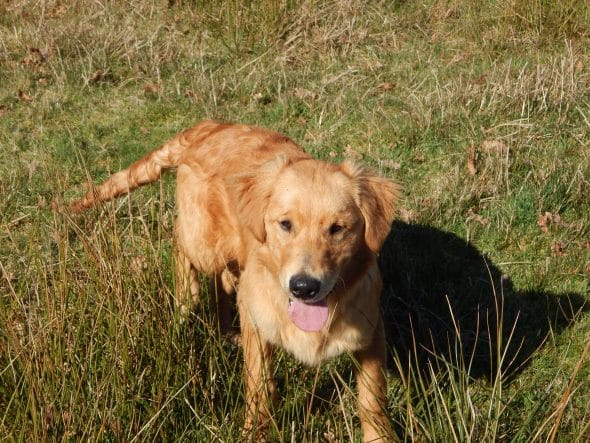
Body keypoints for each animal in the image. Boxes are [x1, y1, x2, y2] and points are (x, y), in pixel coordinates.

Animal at [68, 121, 402, 443]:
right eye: (285, 224)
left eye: (337, 229)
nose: (304, 287)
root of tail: (209, 126)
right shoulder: (258, 323)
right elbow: (260, 391)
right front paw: (255, 432)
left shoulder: (371, 332)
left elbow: (372, 400)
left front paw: (380, 437)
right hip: (203, 246)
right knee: (180, 243)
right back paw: (187, 296)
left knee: (223, 285)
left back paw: (226, 330)